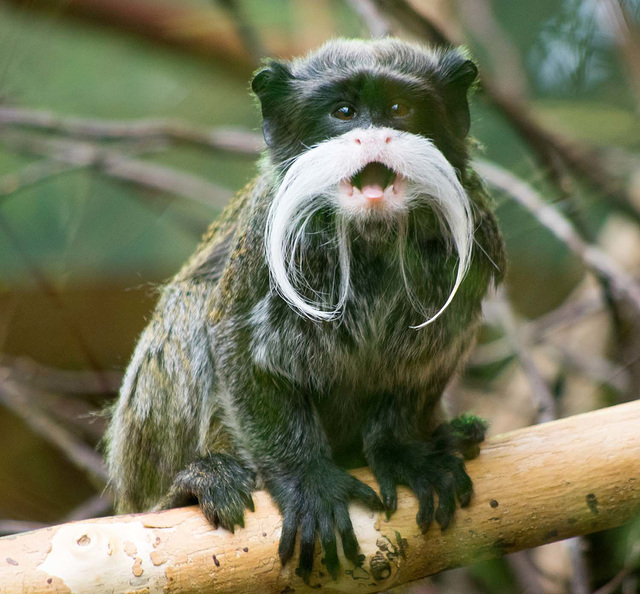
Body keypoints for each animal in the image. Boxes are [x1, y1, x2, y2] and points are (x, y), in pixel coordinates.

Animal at [104, 39, 504, 580]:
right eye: (344, 113)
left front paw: (404, 452)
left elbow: (427, 360)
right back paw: (191, 484)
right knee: (189, 306)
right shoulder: (261, 241)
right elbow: (234, 340)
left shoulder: (474, 234)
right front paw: (307, 479)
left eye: (399, 109)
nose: (372, 136)